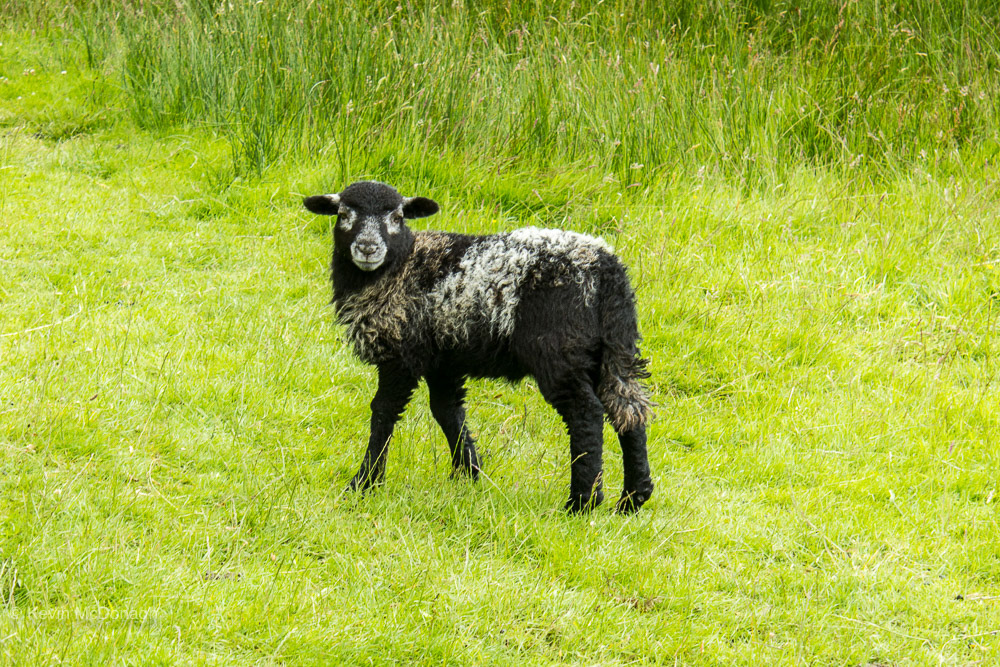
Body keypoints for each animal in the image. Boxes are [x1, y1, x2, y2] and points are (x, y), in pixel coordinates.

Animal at [303, 180, 654, 513]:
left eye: (397, 217)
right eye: (343, 214)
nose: (367, 248)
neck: (398, 268)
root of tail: (606, 270)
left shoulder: (400, 353)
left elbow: (384, 411)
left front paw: (364, 483)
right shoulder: (443, 359)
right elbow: (447, 411)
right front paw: (467, 474)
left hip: (559, 351)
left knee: (587, 414)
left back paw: (582, 502)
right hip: (614, 348)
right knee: (629, 411)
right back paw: (633, 498)